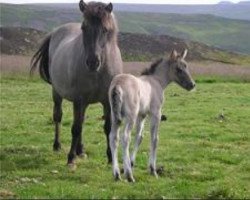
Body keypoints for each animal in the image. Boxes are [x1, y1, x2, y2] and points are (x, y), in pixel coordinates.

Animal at [30, 0, 122, 166]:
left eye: (105, 30)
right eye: (84, 28)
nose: (92, 62)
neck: (99, 71)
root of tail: (56, 32)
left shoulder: (107, 101)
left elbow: (107, 127)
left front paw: (111, 157)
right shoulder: (78, 100)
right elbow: (76, 128)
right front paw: (71, 158)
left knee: (82, 121)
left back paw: (81, 150)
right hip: (58, 94)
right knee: (58, 117)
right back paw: (58, 145)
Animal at [109, 49, 195, 182]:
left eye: (186, 66)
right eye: (178, 69)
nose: (192, 85)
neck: (156, 81)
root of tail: (117, 85)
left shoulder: (142, 115)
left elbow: (139, 137)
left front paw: (131, 163)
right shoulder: (156, 113)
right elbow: (154, 139)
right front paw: (152, 169)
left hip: (114, 116)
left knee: (113, 138)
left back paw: (117, 174)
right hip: (130, 117)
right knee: (125, 138)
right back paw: (129, 176)